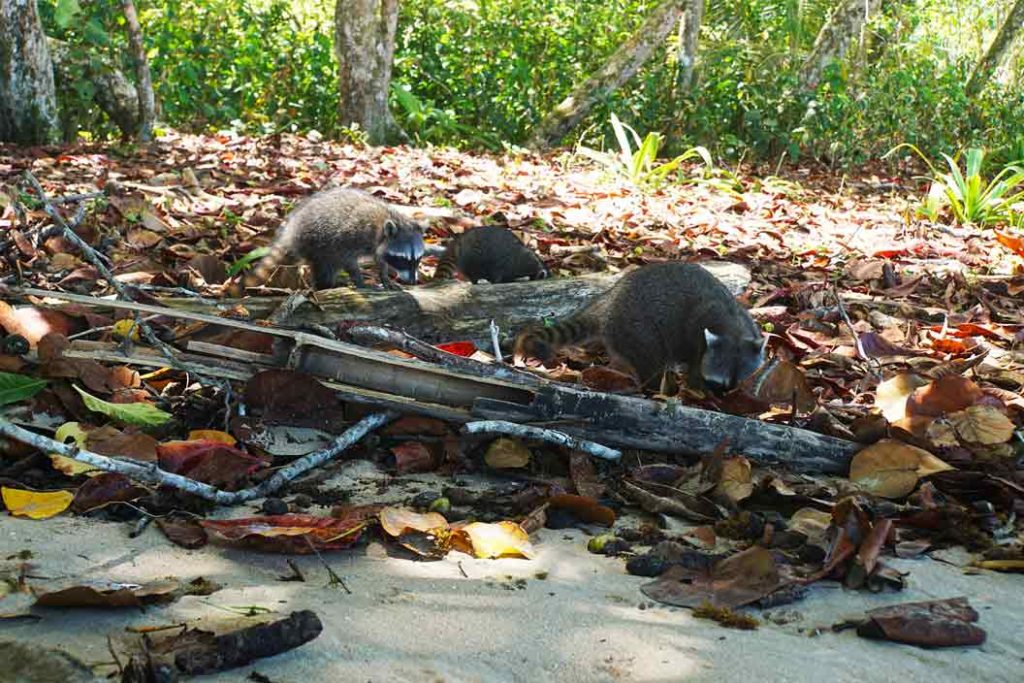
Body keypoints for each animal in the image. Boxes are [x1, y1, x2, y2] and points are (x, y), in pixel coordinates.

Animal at [230, 188, 425, 294]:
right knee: (326, 268)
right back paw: (326, 286)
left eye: (417, 259)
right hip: (316, 243)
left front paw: (384, 276)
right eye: (403, 259)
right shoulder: (351, 235)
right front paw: (360, 281)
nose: (413, 281)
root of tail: (291, 228)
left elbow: (380, 258)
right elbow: (348, 259)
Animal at [516, 262, 765, 393]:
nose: (722, 398)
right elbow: (694, 371)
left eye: (736, 384)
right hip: (635, 329)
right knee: (651, 361)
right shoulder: (698, 342)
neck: (733, 328)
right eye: (715, 383)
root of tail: (612, 298)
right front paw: (697, 392)